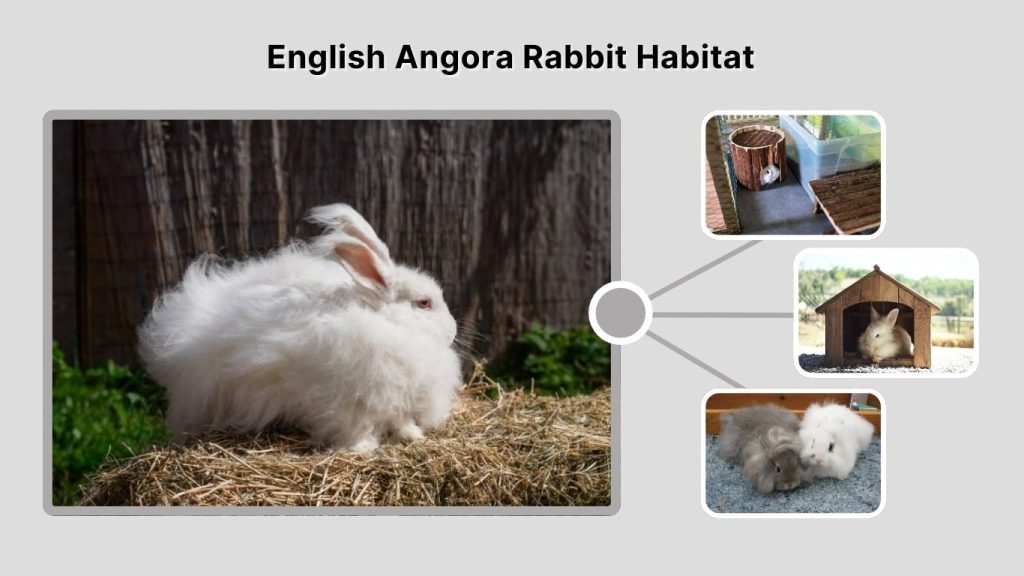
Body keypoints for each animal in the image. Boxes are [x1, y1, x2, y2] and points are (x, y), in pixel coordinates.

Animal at [137, 203, 464, 452]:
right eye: (424, 303)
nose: (453, 331)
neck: (388, 323)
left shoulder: (397, 401)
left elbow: (401, 422)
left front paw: (413, 436)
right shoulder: (350, 403)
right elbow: (356, 428)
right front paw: (362, 449)